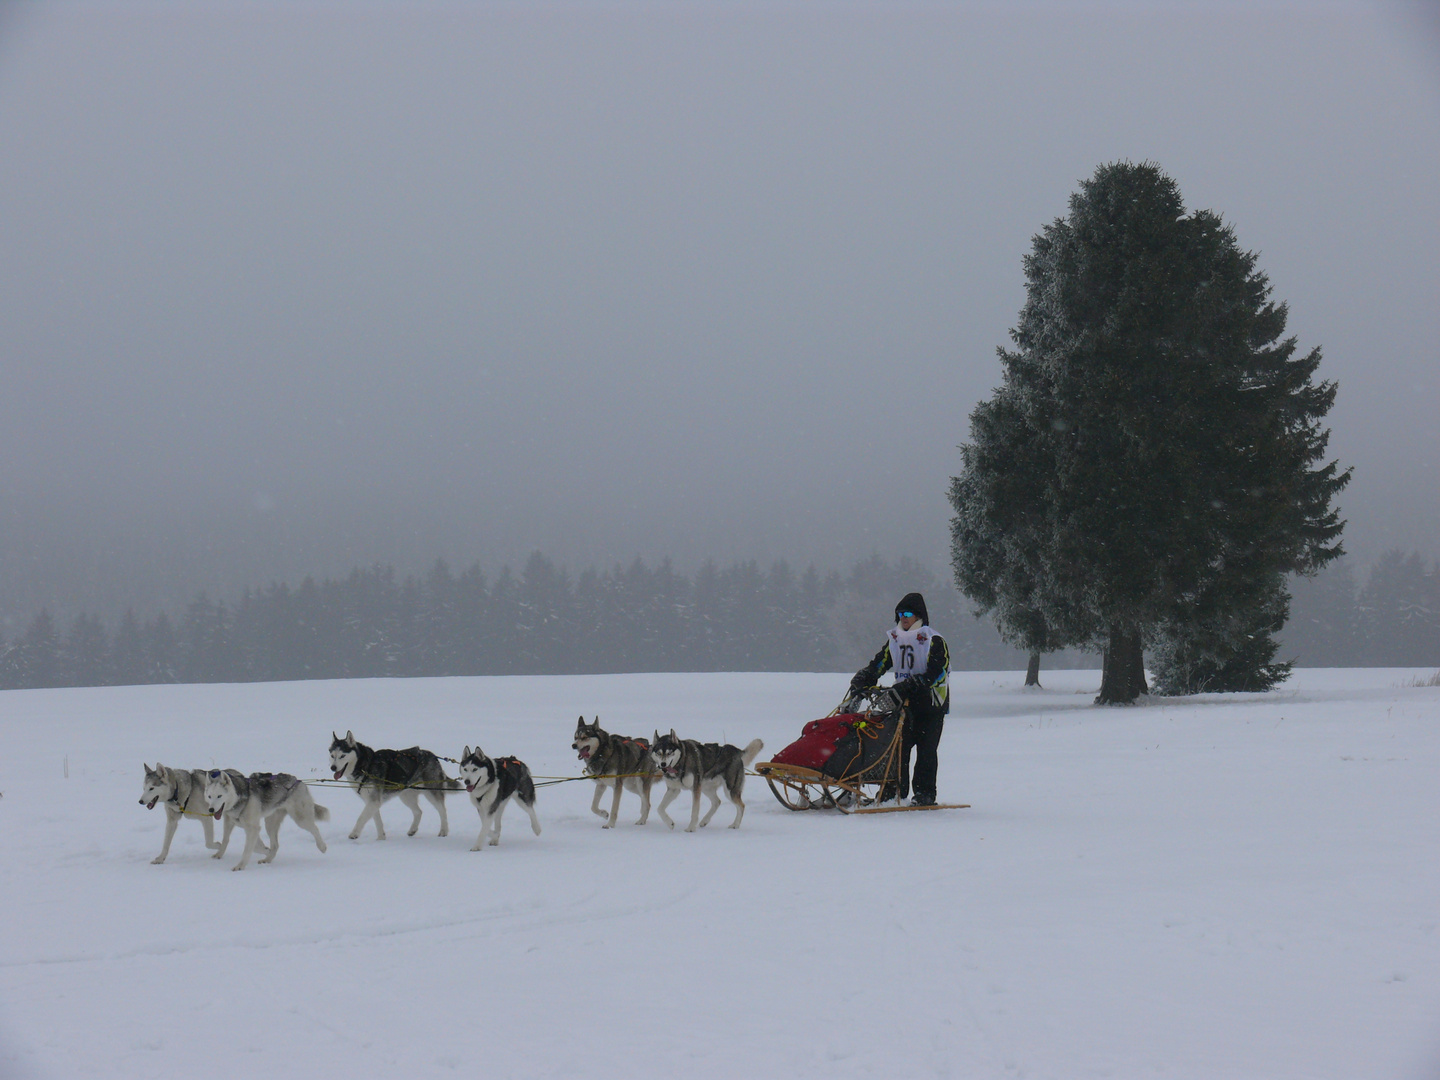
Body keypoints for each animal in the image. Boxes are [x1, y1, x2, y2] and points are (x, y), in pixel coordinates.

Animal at [328, 731, 457, 840]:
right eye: (332, 755)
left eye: (342, 756)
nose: (333, 767)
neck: (365, 766)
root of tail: (433, 756)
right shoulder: (372, 802)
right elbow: (377, 821)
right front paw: (381, 839)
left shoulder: (373, 801)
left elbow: (361, 818)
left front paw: (354, 834)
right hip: (406, 796)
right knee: (418, 812)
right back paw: (413, 830)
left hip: (431, 792)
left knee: (442, 810)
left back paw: (444, 831)